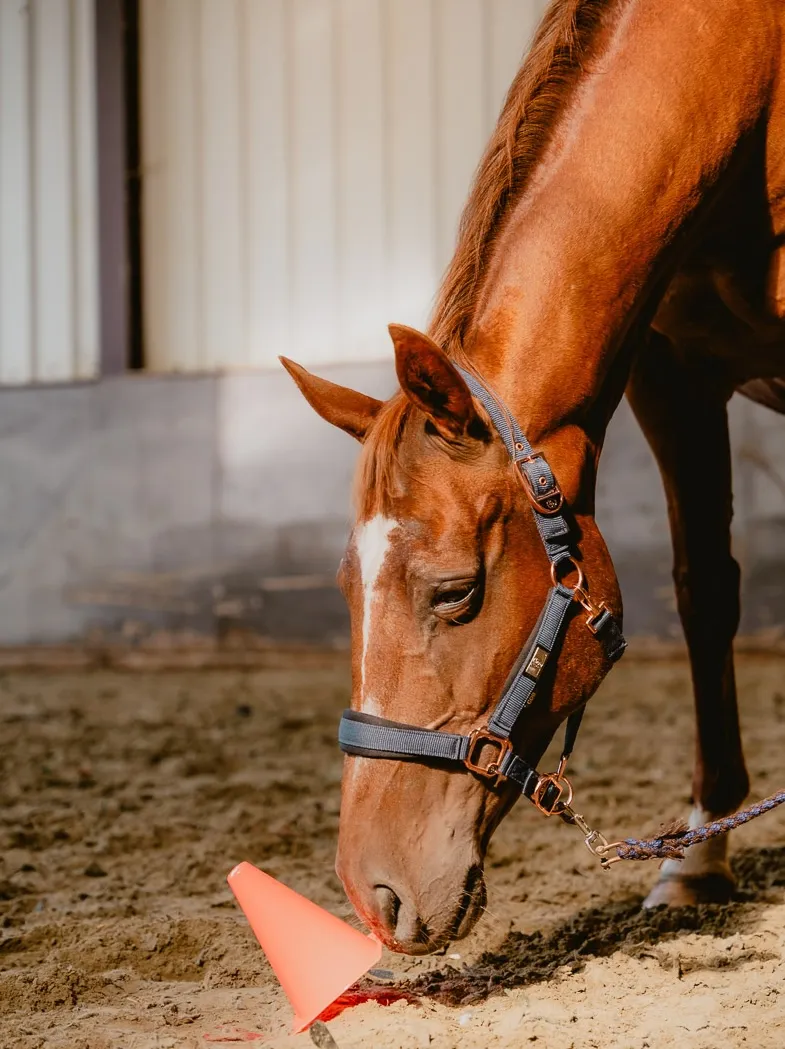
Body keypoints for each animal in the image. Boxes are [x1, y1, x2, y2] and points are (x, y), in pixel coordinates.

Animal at [281, 0, 785, 954]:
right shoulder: (670, 374)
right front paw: (695, 859)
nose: (373, 894)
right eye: (345, 588)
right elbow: (705, 594)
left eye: (452, 592)